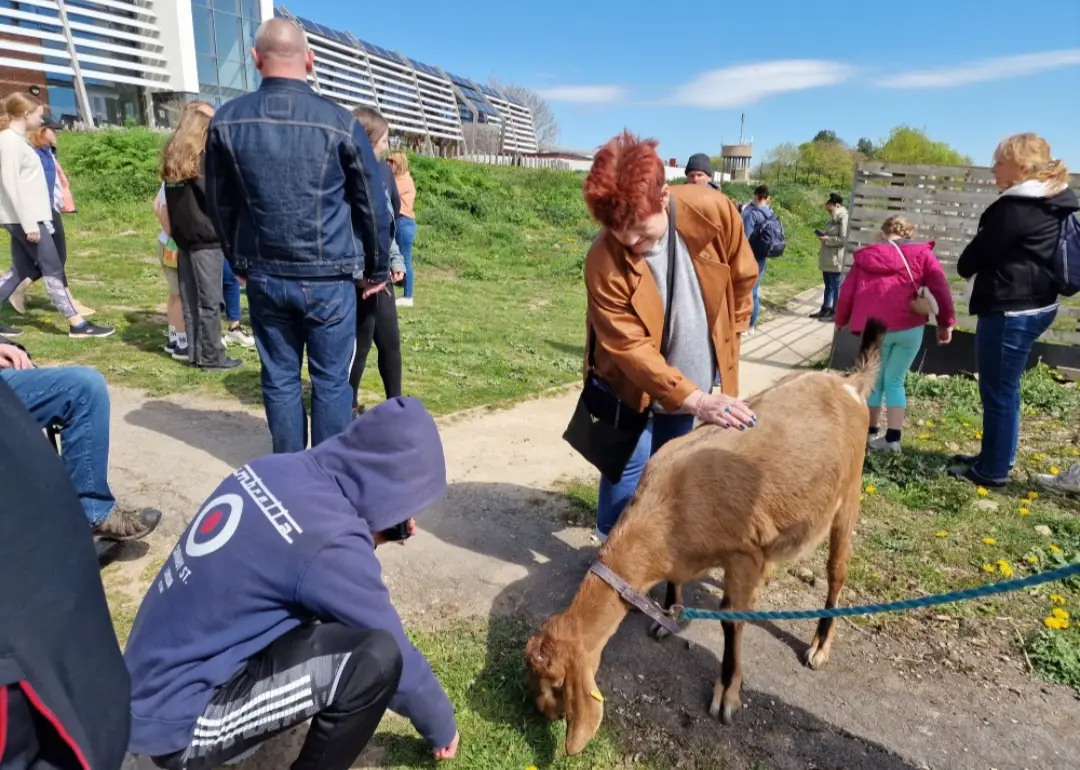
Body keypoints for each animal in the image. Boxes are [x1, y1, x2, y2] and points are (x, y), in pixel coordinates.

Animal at [525, 320, 887, 755]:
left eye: (554, 685)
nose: (541, 711)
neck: (672, 501)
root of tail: (848, 384)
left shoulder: (742, 554)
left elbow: (732, 622)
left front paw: (727, 695)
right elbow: (677, 581)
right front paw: (667, 616)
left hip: (848, 495)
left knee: (837, 572)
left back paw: (819, 646)